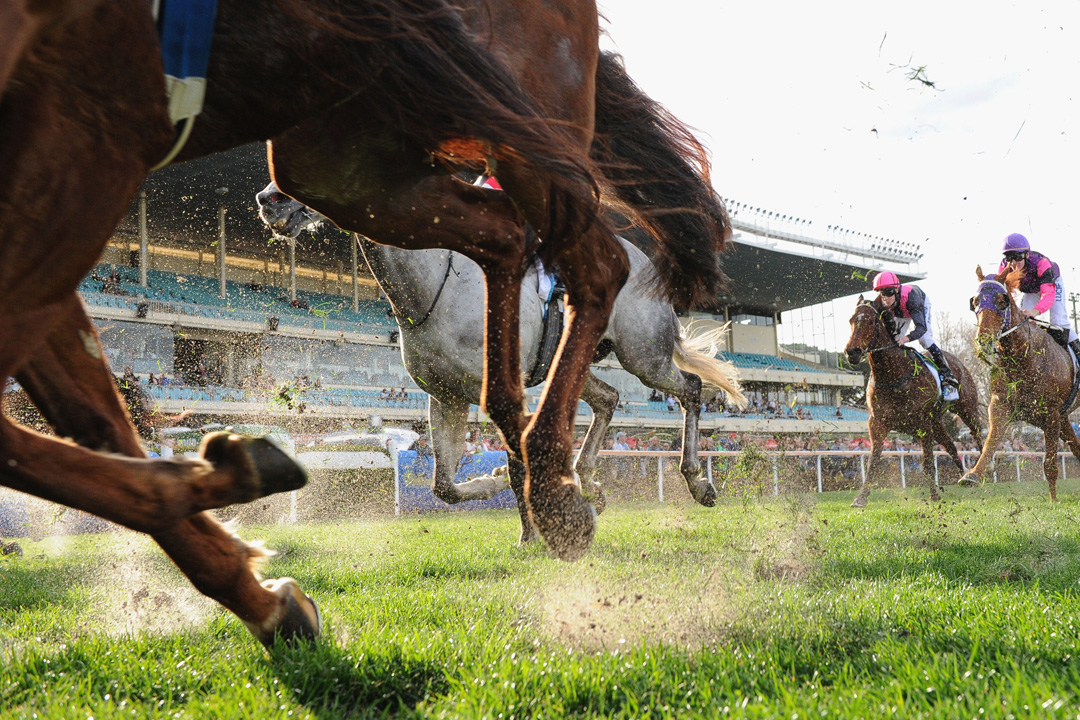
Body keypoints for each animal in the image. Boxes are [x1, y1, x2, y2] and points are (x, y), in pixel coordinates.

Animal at [258, 183, 747, 544]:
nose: (268, 200)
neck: (437, 284)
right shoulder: (446, 397)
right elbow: (444, 485)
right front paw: (494, 487)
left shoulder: (498, 392)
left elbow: (516, 465)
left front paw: (531, 533)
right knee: (609, 399)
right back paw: (589, 479)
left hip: (645, 355)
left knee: (690, 389)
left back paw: (697, 481)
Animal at [842, 295, 989, 509]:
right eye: (851, 320)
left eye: (870, 321)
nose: (851, 352)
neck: (893, 376)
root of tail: (957, 362)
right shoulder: (877, 423)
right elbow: (872, 462)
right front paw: (860, 498)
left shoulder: (922, 423)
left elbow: (927, 463)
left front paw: (934, 496)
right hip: (937, 423)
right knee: (952, 447)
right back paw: (964, 476)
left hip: (966, 410)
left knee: (978, 435)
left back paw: (980, 472)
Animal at [959, 266, 1080, 500]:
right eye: (975, 302)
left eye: (1002, 301)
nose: (984, 338)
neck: (1024, 358)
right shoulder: (1001, 404)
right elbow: (990, 442)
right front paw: (973, 474)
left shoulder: (1050, 414)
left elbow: (1050, 465)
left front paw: (1053, 501)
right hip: (1064, 418)